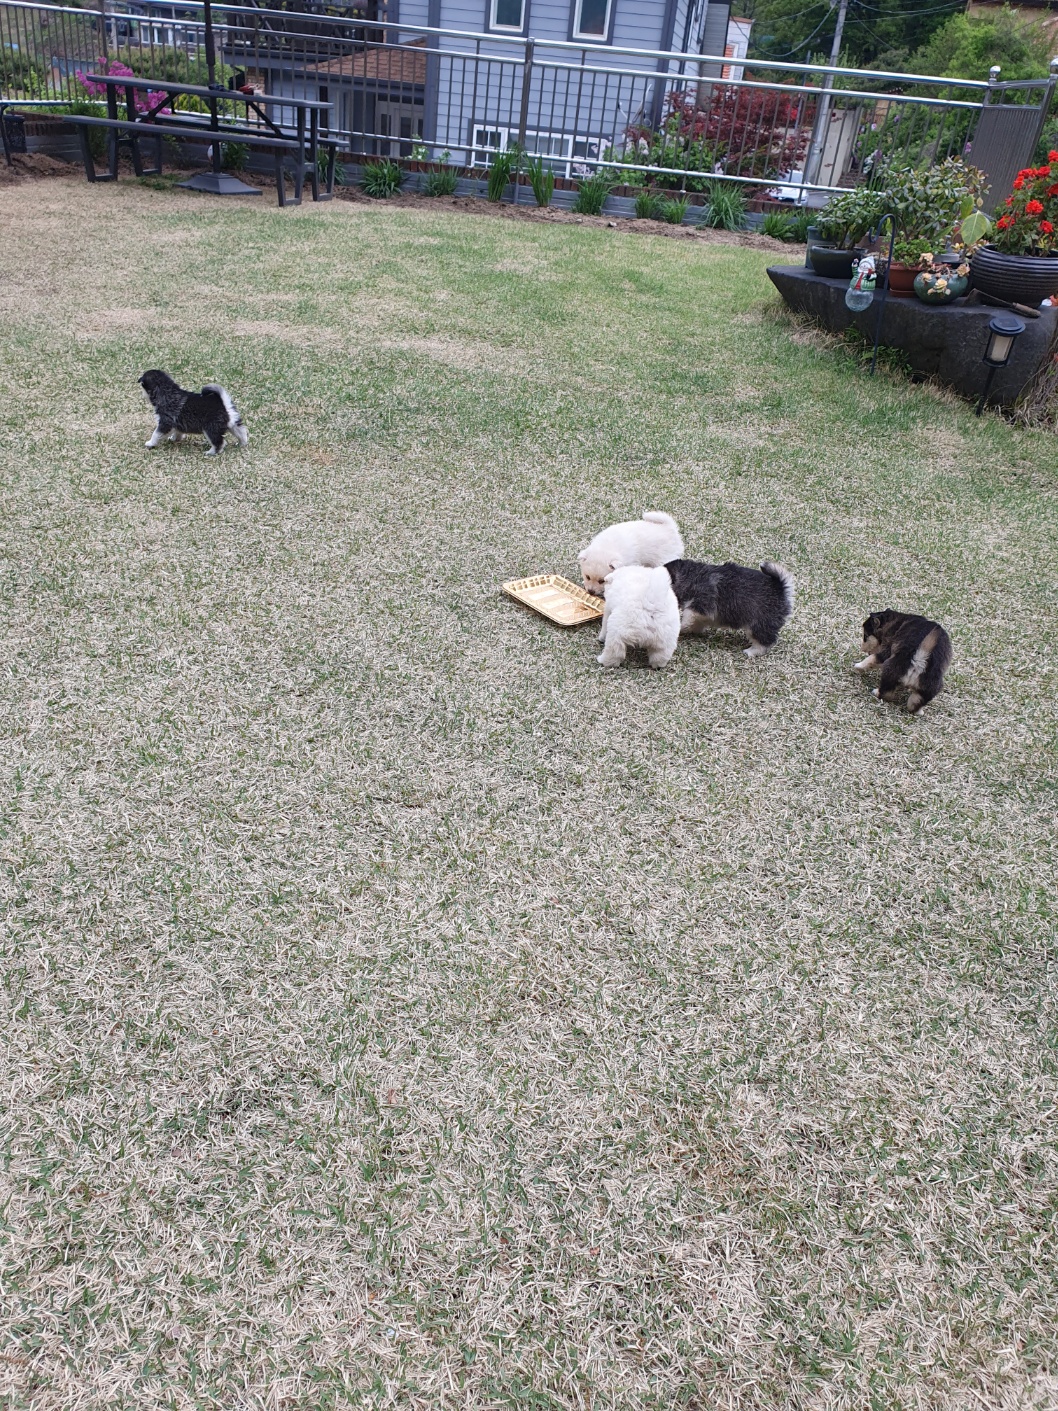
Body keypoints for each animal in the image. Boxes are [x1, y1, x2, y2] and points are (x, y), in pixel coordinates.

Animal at [664, 558, 795, 657]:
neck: (691, 577)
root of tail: (781, 589)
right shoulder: (702, 614)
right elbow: (695, 623)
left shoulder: (699, 606)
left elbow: (687, 618)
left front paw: (680, 627)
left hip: (757, 626)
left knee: (764, 642)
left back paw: (751, 652)